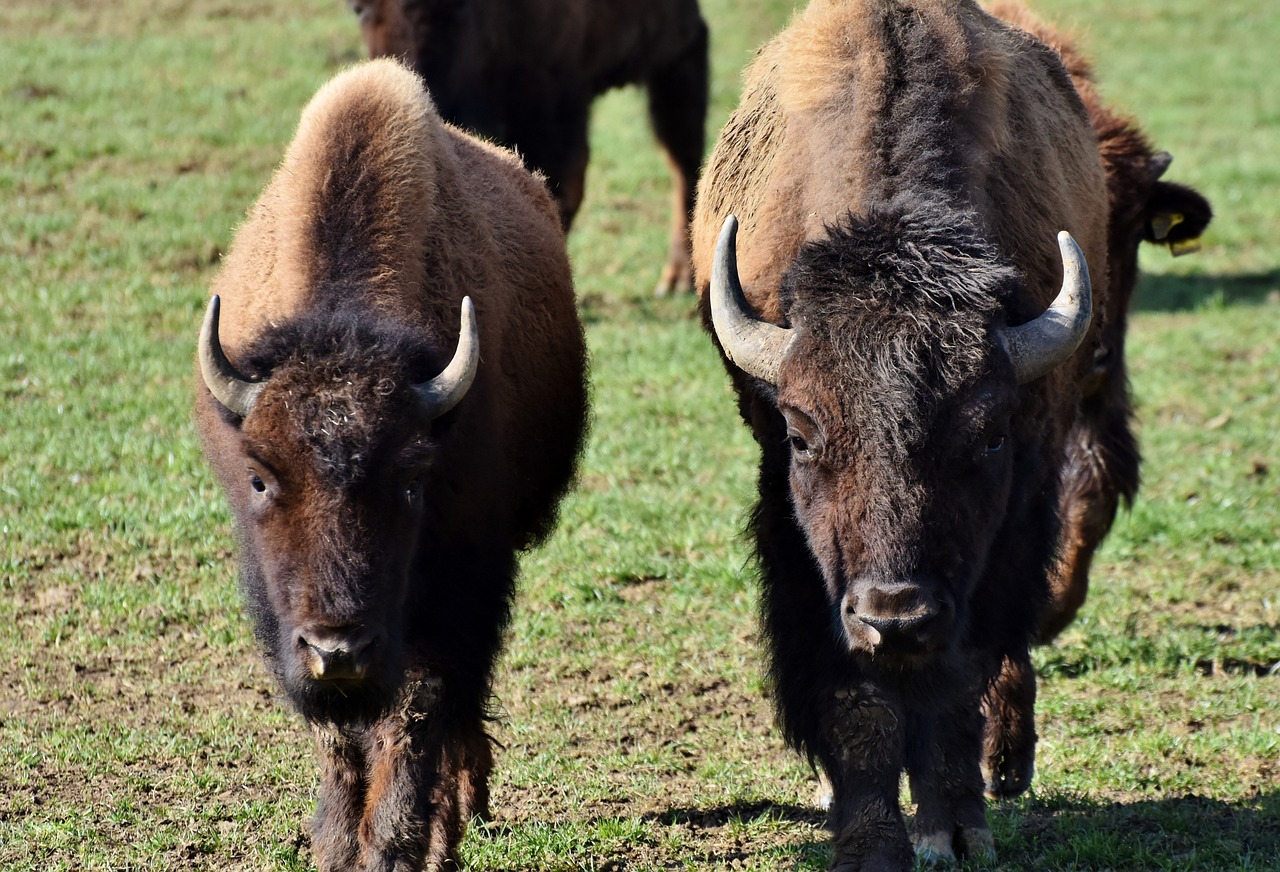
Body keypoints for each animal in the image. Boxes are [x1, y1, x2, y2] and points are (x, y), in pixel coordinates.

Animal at [193, 61, 588, 870]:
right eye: (260, 478)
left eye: (411, 481)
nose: (338, 649)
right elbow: (339, 729)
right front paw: (338, 842)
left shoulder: (459, 573)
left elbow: (419, 709)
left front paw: (397, 847)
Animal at [348, 0, 711, 294]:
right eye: (359, 8)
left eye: (452, 9)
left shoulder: (556, 115)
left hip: (676, 57)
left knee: (683, 160)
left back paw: (677, 280)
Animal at [691, 0, 1121, 865]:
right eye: (802, 434)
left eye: (988, 436)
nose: (894, 615)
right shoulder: (800, 545)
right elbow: (851, 690)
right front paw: (868, 839)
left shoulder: (1006, 529)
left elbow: (961, 675)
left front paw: (953, 829)